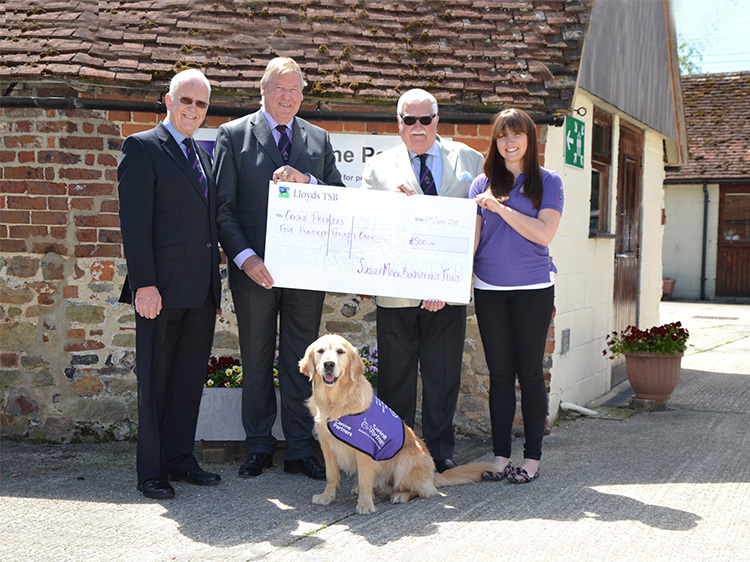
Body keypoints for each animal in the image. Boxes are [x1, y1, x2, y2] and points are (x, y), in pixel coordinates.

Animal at [298, 332, 500, 512]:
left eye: (340, 351)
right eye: (320, 351)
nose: (328, 364)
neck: (335, 400)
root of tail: (432, 476)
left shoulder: (364, 449)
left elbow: (364, 479)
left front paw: (365, 505)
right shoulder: (326, 444)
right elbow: (331, 476)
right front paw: (326, 497)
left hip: (406, 459)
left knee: (422, 491)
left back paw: (401, 495)